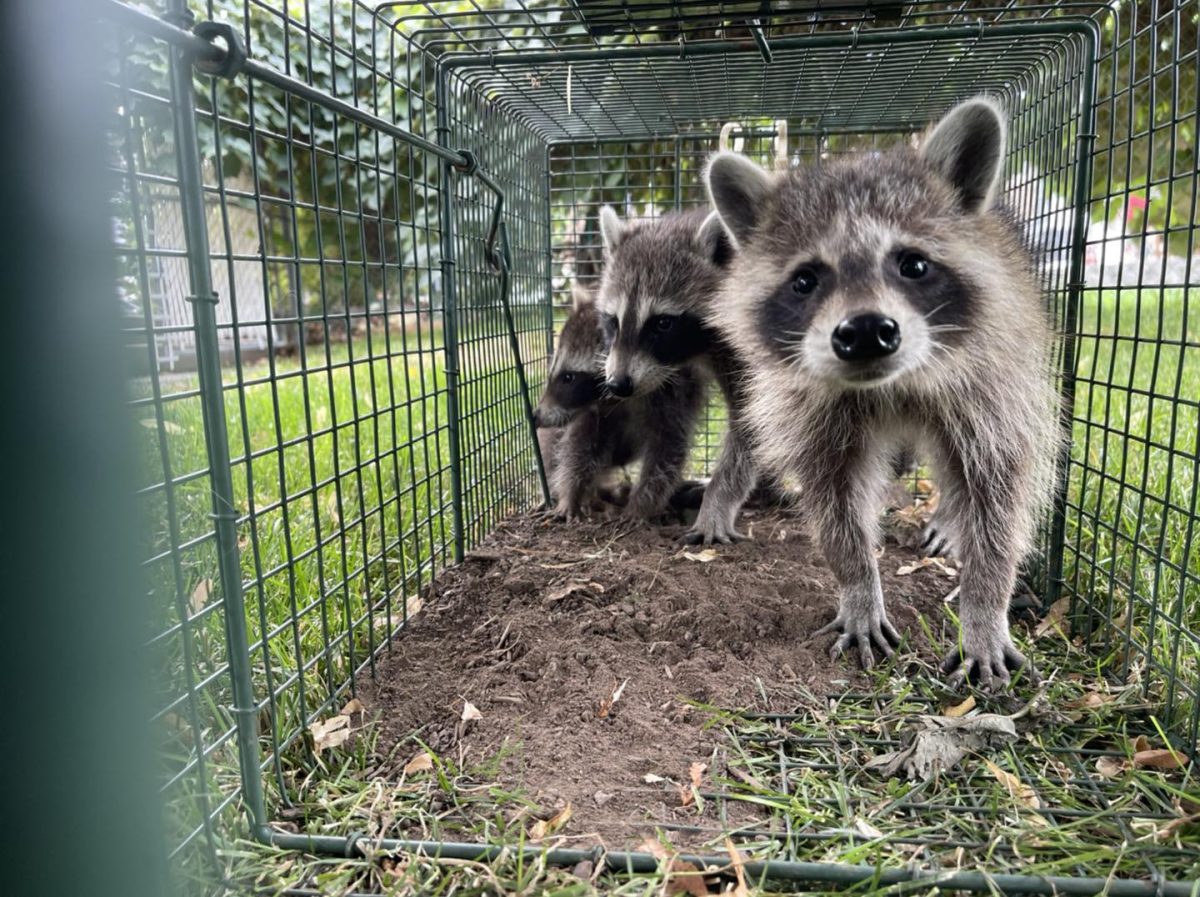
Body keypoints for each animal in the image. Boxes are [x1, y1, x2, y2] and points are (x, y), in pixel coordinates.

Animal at [597, 206, 762, 539]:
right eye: (613, 321)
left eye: (663, 323)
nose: (618, 384)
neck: (698, 349)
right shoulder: (663, 369)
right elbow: (669, 432)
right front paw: (644, 499)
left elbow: (749, 424)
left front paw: (718, 500)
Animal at [705, 98, 1059, 689]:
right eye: (805, 280)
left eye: (912, 263)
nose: (867, 331)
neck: (893, 385)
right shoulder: (810, 411)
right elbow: (834, 498)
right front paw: (858, 583)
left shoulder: (992, 384)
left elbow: (998, 492)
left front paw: (986, 604)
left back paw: (949, 523)